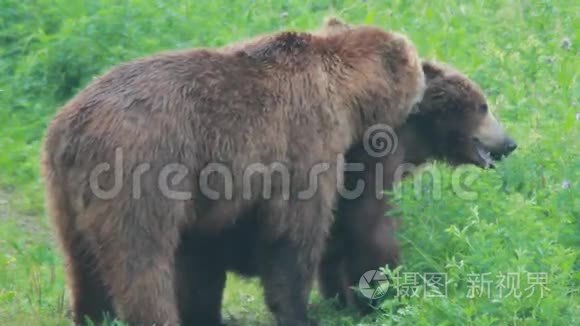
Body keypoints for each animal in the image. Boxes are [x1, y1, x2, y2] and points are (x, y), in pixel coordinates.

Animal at [39, 20, 422, 326]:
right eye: (417, 65)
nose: (422, 84)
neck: (345, 95)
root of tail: (75, 128)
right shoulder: (303, 142)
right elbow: (293, 236)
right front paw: (298, 311)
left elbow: (202, 259)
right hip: (140, 173)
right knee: (141, 263)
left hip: (62, 191)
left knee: (81, 265)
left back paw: (90, 315)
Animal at [320, 60, 520, 310]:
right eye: (483, 107)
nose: (510, 144)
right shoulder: (372, 158)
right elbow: (371, 225)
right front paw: (380, 293)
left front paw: (339, 296)